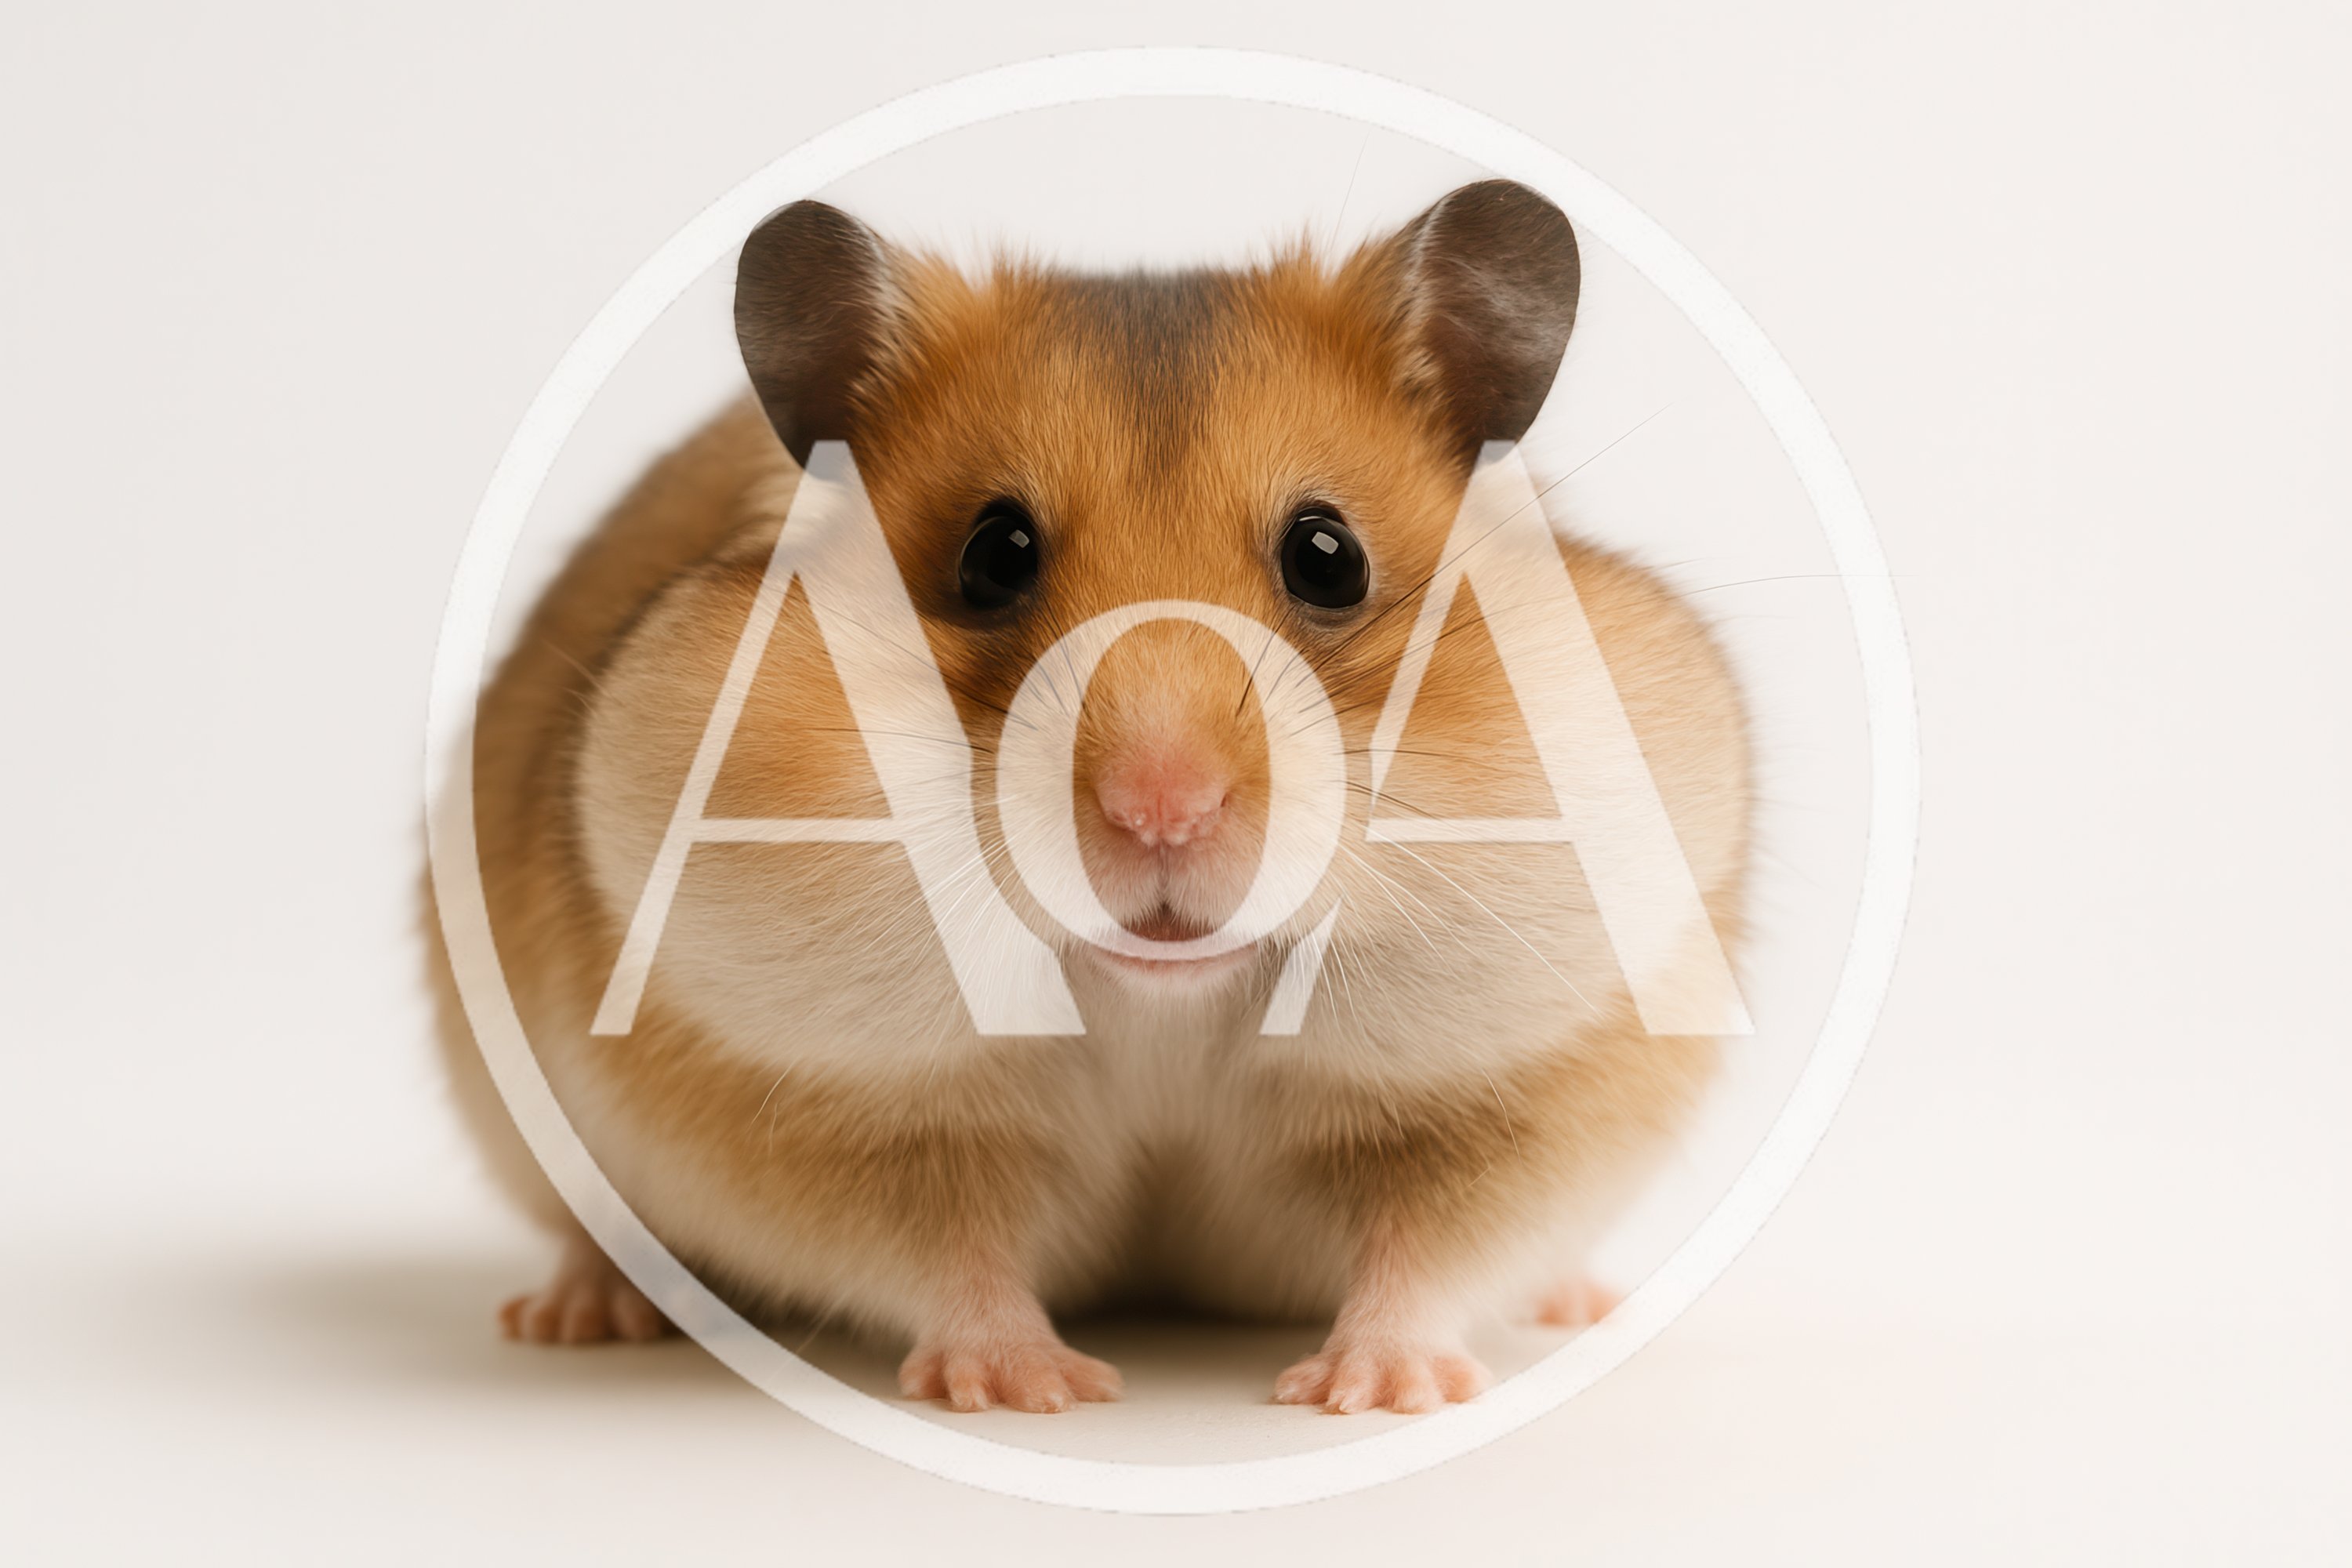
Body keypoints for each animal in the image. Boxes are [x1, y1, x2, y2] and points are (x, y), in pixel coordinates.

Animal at [426, 180, 1749, 1414]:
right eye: (993, 556)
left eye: (1330, 557)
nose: (1160, 810)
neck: (1160, 1009)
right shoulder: (850, 1107)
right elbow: (949, 1251)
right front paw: (1040, 1391)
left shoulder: (1503, 1094)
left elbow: (1424, 1251)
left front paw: (1369, 1393)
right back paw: (576, 1318)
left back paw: (1581, 1303)